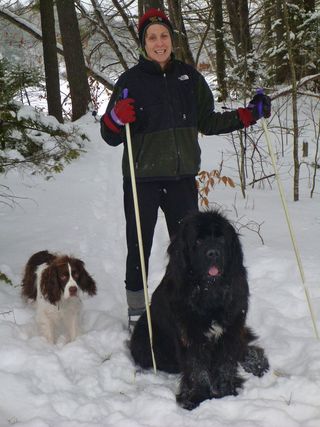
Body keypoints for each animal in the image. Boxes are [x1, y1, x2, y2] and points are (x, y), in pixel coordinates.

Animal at [129, 211, 268, 412]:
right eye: (199, 241)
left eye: (221, 239)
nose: (213, 253)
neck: (210, 291)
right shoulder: (190, 335)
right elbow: (197, 367)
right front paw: (197, 398)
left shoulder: (231, 328)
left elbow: (226, 362)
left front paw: (226, 391)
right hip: (143, 336)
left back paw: (256, 363)